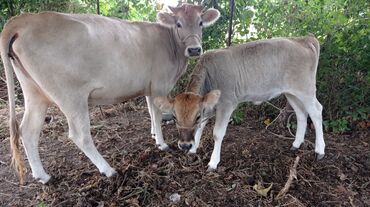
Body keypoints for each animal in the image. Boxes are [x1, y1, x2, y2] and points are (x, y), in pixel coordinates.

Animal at [0, 4, 220, 184]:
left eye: (200, 22)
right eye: (179, 24)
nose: (194, 49)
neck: (170, 44)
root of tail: (25, 19)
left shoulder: (148, 87)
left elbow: (150, 111)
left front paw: (153, 134)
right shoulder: (159, 84)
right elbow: (157, 113)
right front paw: (162, 143)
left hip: (34, 93)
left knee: (28, 131)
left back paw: (43, 176)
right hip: (71, 96)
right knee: (80, 135)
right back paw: (108, 170)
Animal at [155, 35, 326, 171]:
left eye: (196, 116)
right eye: (175, 117)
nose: (184, 145)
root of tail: (303, 39)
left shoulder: (226, 104)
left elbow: (217, 134)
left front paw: (213, 162)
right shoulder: (208, 106)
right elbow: (201, 128)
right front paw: (193, 149)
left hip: (305, 89)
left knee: (316, 112)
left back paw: (319, 151)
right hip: (291, 93)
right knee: (301, 113)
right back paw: (296, 144)